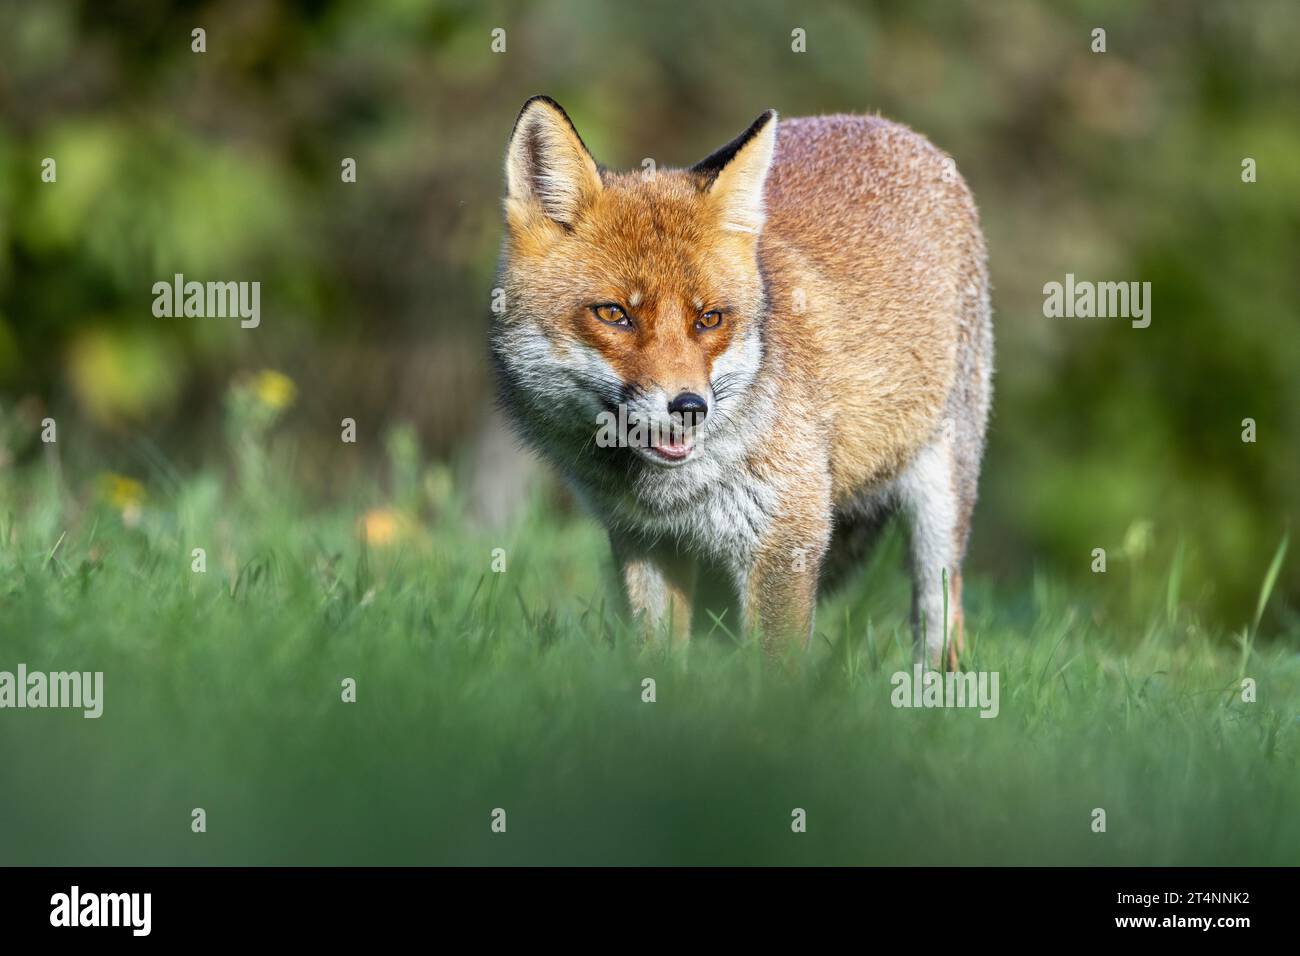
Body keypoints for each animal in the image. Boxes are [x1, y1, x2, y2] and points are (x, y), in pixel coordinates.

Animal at [490, 96, 992, 668]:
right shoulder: (646, 539)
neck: (677, 495)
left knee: (942, 621)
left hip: (941, 507)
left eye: (709, 319)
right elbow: (658, 658)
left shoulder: (786, 541)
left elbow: (772, 672)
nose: (689, 407)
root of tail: (885, 123)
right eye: (615, 314)